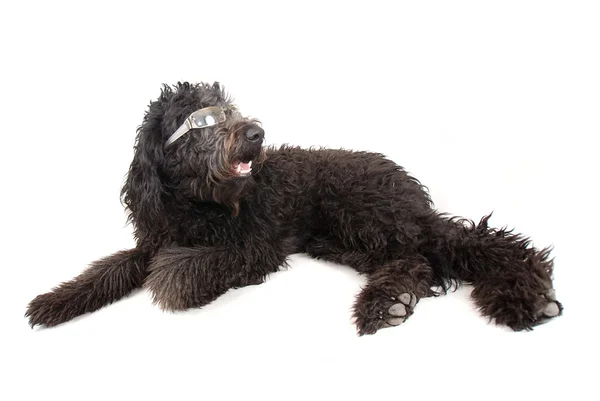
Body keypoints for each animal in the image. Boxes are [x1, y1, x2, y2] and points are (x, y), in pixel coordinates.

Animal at [27, 79, 564, 332]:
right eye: (200, 119)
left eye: (227, 108)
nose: (255, 132)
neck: (198, 206)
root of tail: (405, 182)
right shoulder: (152, 240)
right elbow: (107, 270)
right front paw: (52, 302)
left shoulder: (251, 248)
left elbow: (172, 273)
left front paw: (171, 275)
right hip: (346, 239)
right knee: (415, 261)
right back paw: (391, 301)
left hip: (367, 214)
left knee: (451, 246)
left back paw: (523, 294)